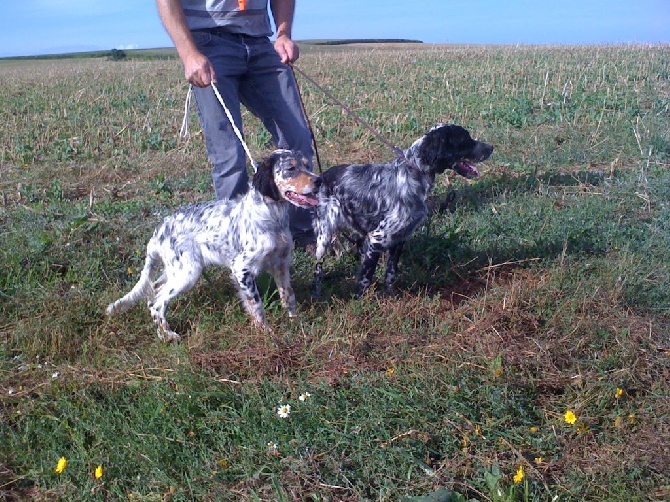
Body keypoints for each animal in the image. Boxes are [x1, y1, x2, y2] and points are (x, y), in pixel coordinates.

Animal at [106, 149, 322, 342]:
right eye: (291, 168)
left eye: (306, 165)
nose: (318, 180)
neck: (271, 217)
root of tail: (159, 230)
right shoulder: (241, 269)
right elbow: (257, 305)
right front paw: (267, 334)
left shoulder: (281, 265)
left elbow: (288, 297)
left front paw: (297, 324)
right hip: (188, 272)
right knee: (156, 303)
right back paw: (168, 335)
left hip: (176, 270)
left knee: (154, 290)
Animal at [314, 124, 494, 298]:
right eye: (465, 139)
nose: (491, 147)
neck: (415, 171)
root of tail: (322, 176)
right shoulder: (376, 238)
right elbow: (365, 279)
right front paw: (360, 301)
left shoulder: (399, 239)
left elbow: (391, 274)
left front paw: (391, 296)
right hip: (324, 236)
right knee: (318, 267)